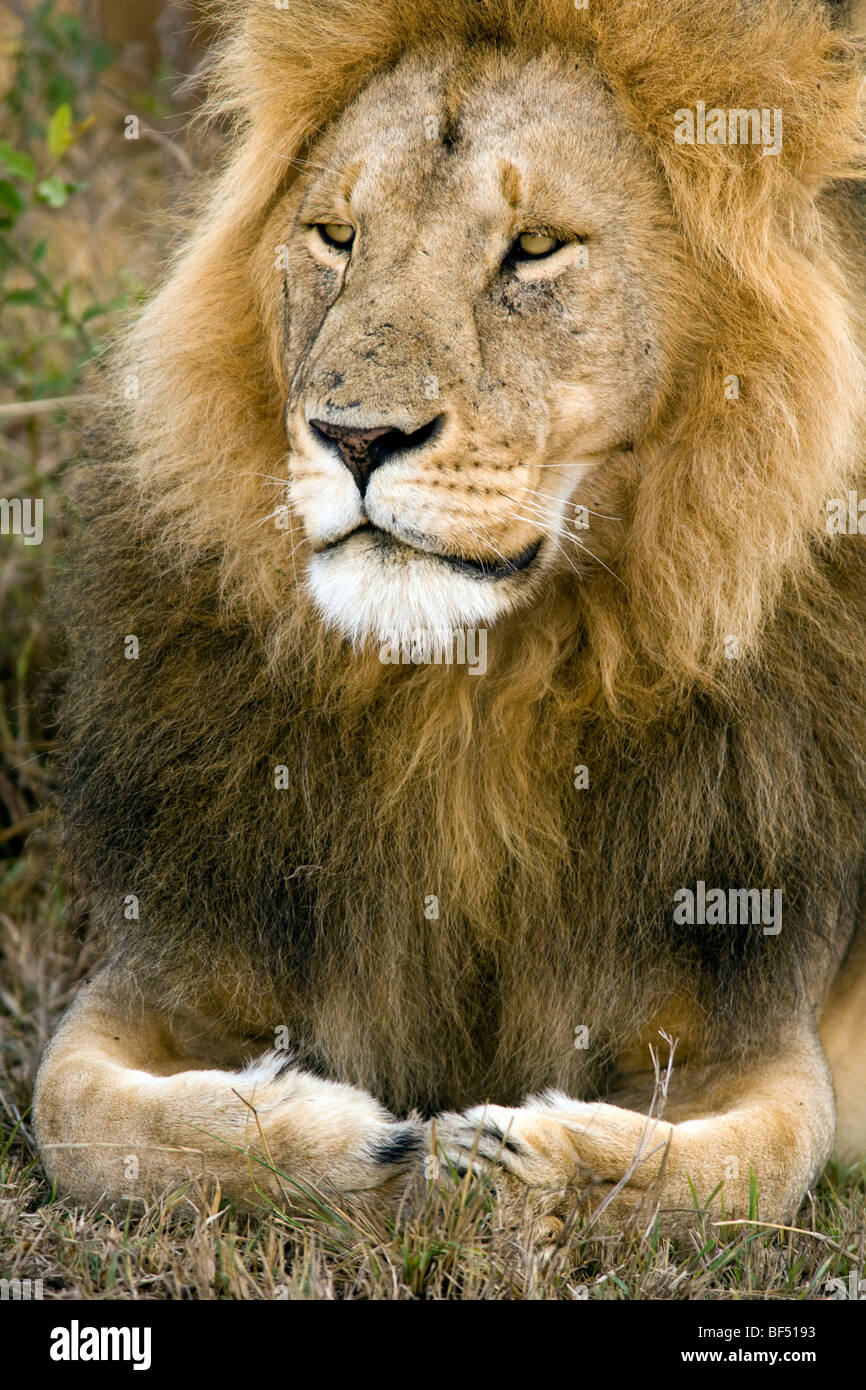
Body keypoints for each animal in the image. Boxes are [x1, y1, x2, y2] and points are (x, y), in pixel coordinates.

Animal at [32, 0, 866, 1240]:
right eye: (334, 236)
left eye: (534, 248)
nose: (354, 437)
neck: (474, 688)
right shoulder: (165, 968)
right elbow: (80, 1113)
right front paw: (349, 1141)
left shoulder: (753, 1020)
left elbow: (752, 1160)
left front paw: (516, 1158)